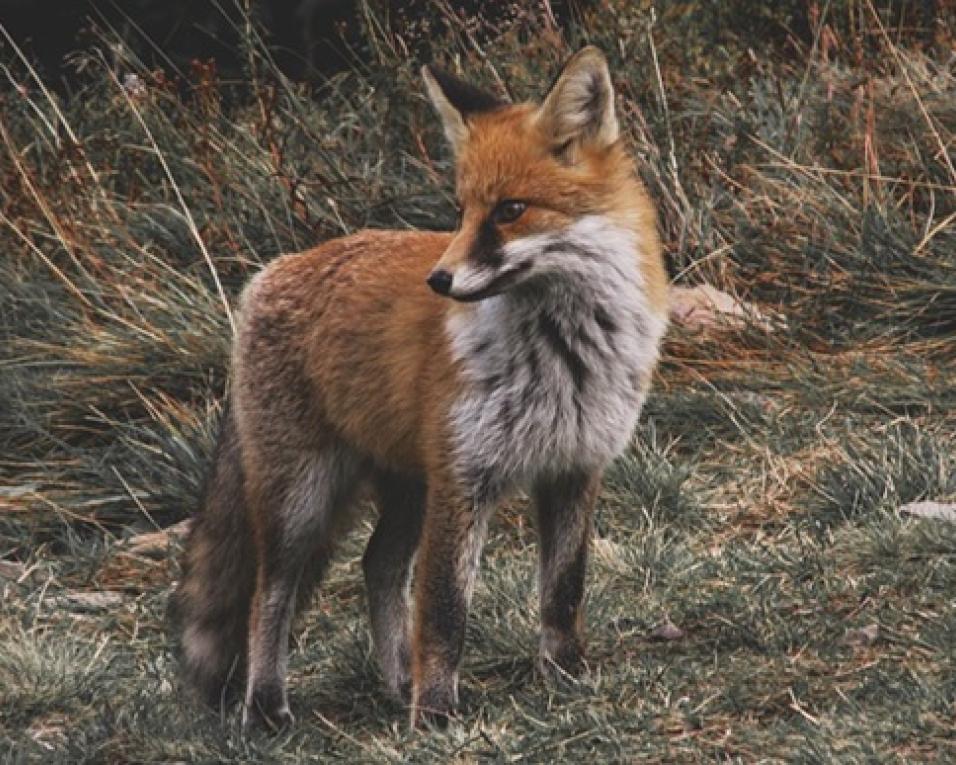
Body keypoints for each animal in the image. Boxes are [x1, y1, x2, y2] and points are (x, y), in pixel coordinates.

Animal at [170, 46, 664, 728]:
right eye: (460, 211)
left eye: (509, 210)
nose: (440, 280)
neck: (564, 355)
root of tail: (270, 273)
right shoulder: (464, 479)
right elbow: (445, 609)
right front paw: (434, 715)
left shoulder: (574, 467)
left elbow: (563, 591)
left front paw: (566, 676)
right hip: (302, 499)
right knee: (268, 595)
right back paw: (268, 707)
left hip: (407, 487)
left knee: (377, 565)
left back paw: (396, 681)